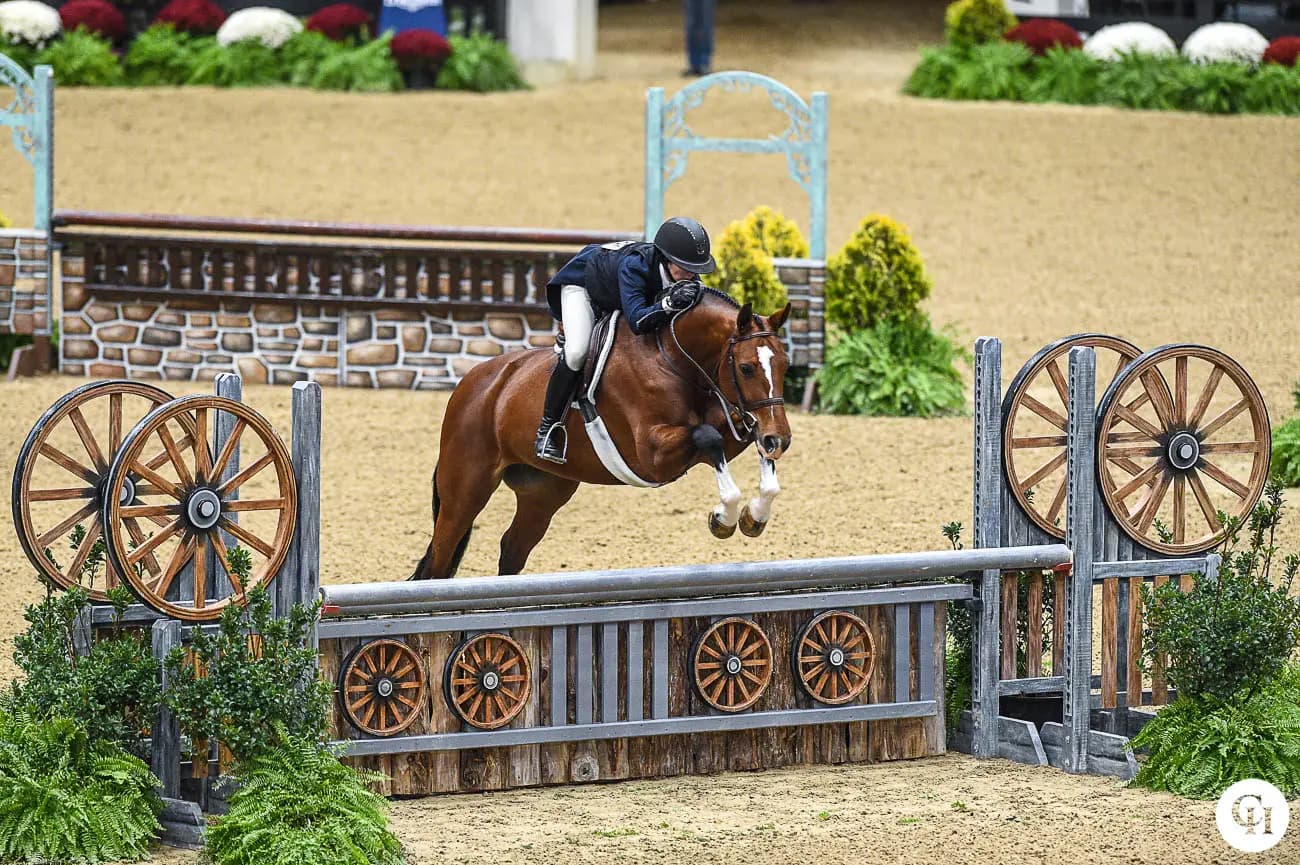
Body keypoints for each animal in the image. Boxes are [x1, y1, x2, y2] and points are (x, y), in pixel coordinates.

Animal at [410, 288, 794, 580]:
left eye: (784, 364)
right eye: (746, 367)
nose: (781, 439)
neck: (673, 357)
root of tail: (474, 383)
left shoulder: (731, 424)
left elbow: (748, 443)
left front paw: (754, 514)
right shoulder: (651, 455)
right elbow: (708, 438)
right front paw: (724, 517)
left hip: (543, 493)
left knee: (512, 549)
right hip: (466, 491)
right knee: (439, 559)